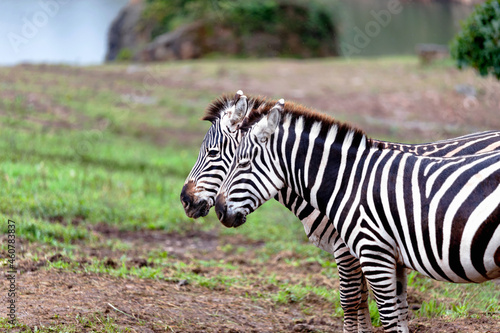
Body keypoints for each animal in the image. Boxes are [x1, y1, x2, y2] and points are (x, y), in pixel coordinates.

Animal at [215, 97, 500, 332]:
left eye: (242, 163)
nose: (217, 210)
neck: (349, 181)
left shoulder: (371, 252)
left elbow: (381, 315)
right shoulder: (393, 258)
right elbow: (396, 314)